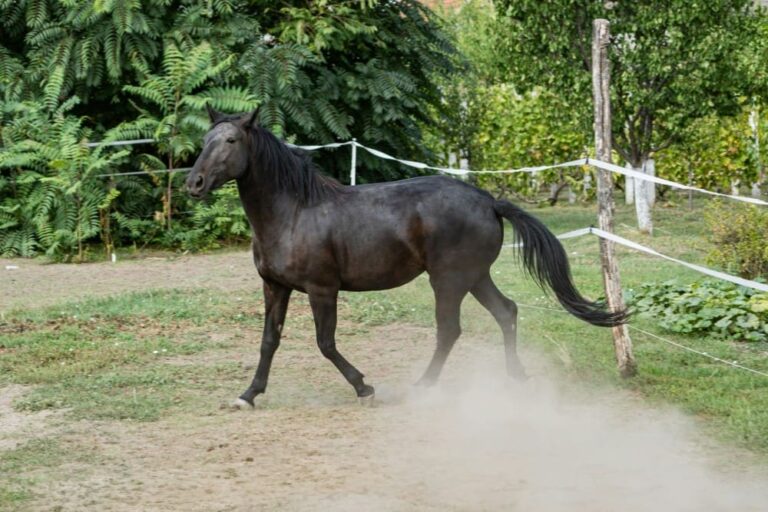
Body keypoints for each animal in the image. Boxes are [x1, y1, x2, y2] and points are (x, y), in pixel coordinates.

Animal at [186, 107, 627, 408]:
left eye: (231, 142)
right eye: (206, 139)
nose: (194, 183)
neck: (294, 212)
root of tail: (489, 201)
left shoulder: (322, 289)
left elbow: (325, 343)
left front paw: (364, 387)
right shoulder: (275, 287)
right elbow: (269, 341)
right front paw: (248, 394)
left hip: (448, 281)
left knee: (449, 330)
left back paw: (424, 386)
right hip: (475, 277)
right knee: (507, 311)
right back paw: (514, 377)